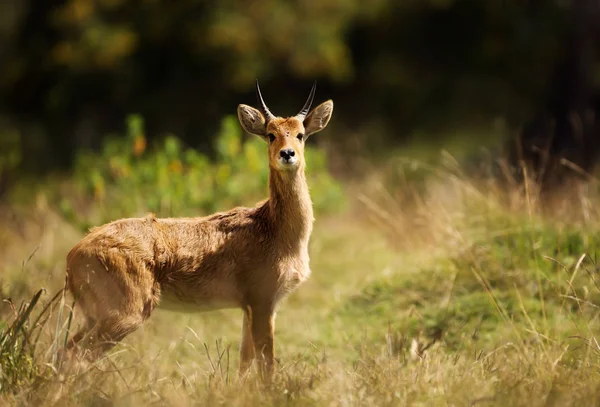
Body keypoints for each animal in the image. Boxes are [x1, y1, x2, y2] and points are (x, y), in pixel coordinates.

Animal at [63, 81, 336, 378]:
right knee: (77, 355)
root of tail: (73, 255)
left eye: (300, 134)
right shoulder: (263, 300)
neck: (275, 229)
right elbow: (266, 365)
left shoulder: (249, 306)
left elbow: (245, 362)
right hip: (124, 313)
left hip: (94, 315)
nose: (287, 154)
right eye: (270, 135)